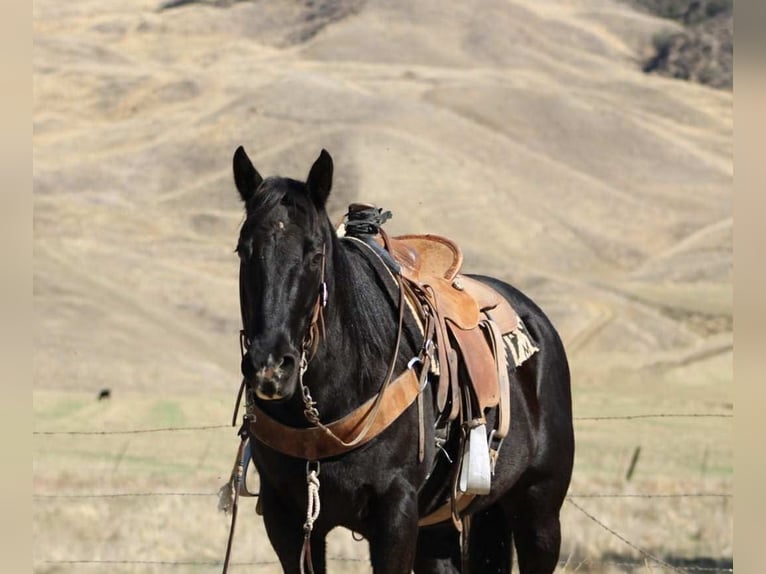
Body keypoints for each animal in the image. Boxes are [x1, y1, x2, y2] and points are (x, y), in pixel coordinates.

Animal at [229, 146, 574, 573]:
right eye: (244, 251)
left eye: (314, 253)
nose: (271, 367)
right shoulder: (288, 518)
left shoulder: (396, 511)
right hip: (451, 524)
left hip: (539, 512)